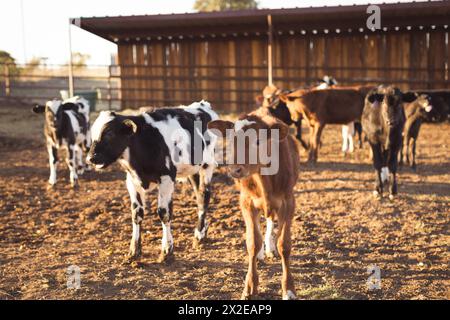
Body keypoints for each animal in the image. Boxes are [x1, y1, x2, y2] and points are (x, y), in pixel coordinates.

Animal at [85, 100, 219, 262]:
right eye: (92, 134)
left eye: (109, 133)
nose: (90, 158)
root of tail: (202, 105)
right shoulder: (132, 181)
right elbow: (136, 213)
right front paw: (134, 250)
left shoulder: (167, 178)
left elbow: (164, 213)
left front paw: (167, 250)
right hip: (193, 170)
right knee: (199, 196)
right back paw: (202, 232)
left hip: (207, 164)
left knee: (204, 196)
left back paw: (199, 235)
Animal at [209, 107, 300, 300]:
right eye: (231, 140)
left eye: (258, 141)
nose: (235, 170)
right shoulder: (246, 202)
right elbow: (252, 241)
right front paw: (249, 287)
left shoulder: (288, 201)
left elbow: (284, 244)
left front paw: (289, 289)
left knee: (270, 221)